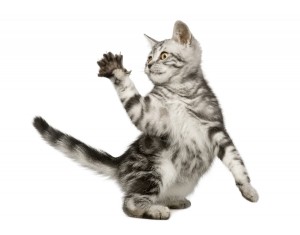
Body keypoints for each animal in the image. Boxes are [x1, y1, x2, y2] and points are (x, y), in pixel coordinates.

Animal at [32, 20, 258, 220]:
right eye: (149, 57)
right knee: (130, 202)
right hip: (156, 167)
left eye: (163, 55)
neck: (180, 92)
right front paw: (117, 71)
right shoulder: (148, 115)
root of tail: (121, 162)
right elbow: (129, 95)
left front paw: (247, 188)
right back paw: (155, 210)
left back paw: (172, 201)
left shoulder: (216, 128)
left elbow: (236, 160)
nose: (148, 64)